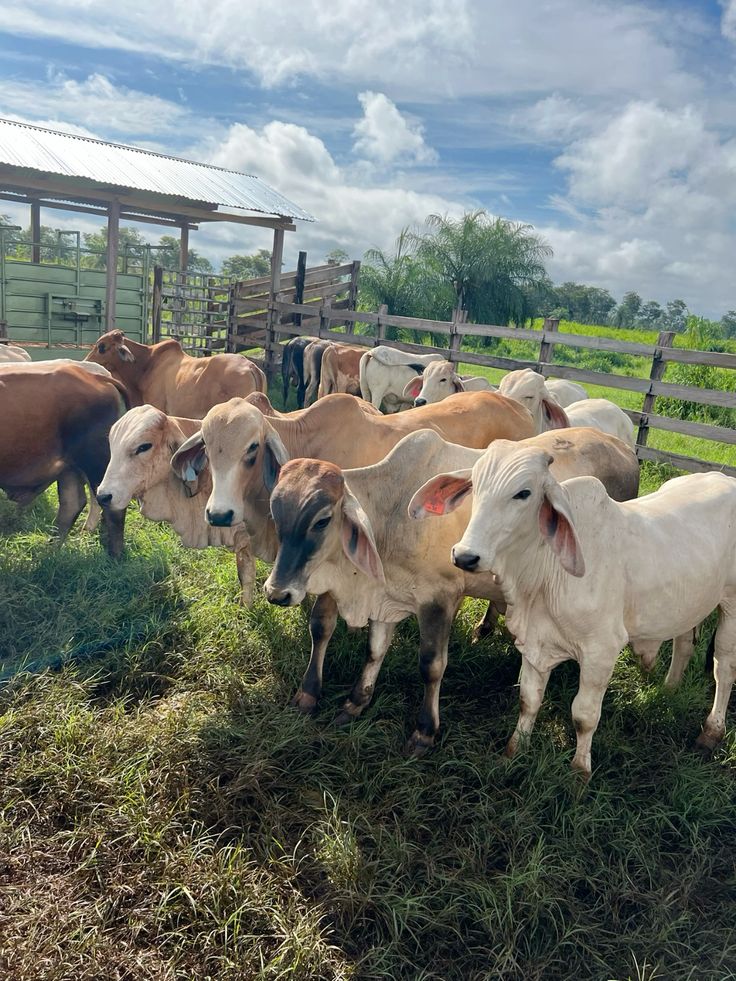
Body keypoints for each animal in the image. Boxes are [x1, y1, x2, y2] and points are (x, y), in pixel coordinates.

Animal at [0, 363, 127, 555]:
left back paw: (115, 555)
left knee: (111, 507)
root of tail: (94, 376)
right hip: (69, 467)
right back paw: (51, 550)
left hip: (94, 461)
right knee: (72, 503)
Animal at [262, 427, 639, 751]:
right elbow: (374, 650)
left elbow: (431, 665)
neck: (395, 510)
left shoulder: (439, 599)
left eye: (322, 520)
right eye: (275, 515)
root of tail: (621, 446)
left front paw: (424, 732)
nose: (277, 593)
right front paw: (355, 701)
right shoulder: (388, 595)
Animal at [416, 440, 736, 779]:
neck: (544, 573)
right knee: (684, 643)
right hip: (690, 601)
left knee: (724, 666)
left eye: (523, 493)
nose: (465, 556)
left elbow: (584, 715)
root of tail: (723, 478)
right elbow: (528, 700)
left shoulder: (601, 652)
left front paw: (580, 772)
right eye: (475, 486)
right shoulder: (535, 643)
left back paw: (711, 732)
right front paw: (514, 752)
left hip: (730, 605)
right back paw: (670, 690)